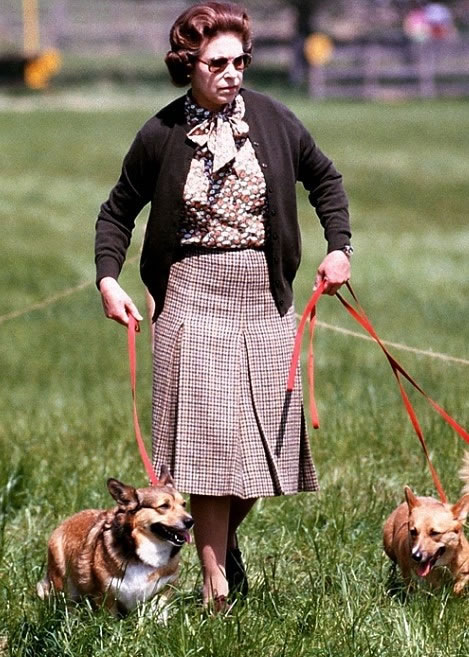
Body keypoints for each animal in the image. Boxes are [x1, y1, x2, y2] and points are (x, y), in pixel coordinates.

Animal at [37, 467, 193, 618]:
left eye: (184, 504)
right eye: (164, 506)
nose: (191, 521)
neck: (144, 553)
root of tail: (67, 521)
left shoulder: (166, 588)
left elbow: (158, 610)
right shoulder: (106, 596)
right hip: (62, 580)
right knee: (68, 604)